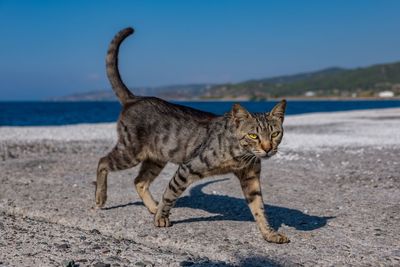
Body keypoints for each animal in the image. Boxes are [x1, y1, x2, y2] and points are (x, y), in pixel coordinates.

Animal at [96, 27, 290, 245]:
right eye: (253, 136)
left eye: (275, 133)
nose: (267, 148)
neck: (240, 155)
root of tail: (134, 98)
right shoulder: (188, 167)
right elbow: (170, 192)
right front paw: (162, 218)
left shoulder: (251, 178)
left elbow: (259, 209)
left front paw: (269, 233)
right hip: (130, 152)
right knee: (103, 162)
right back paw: (101, 198)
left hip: (156, 159)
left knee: (139, 181)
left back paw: (153, 207)